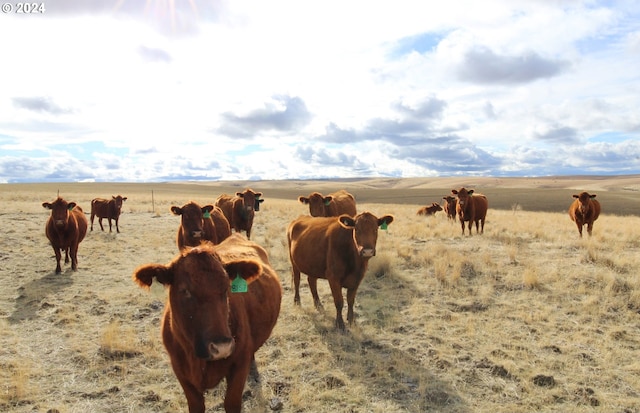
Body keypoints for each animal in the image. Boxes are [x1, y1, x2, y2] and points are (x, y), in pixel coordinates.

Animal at [134, 233, 282, 412]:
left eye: (227, 287)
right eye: (185, 290)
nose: (221, 347)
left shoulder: (239, 365)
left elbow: (231, 403)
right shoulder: (180, 371)